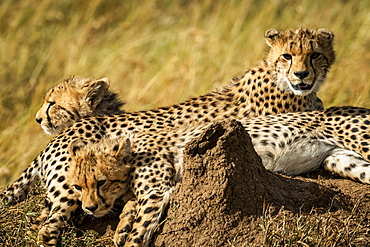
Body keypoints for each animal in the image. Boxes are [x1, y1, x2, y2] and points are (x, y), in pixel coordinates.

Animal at [0, 28, 336, 246]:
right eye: (287, 56)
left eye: (315, 55)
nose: (38, 118)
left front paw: (124, 226)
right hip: (68, 190)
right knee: (48, 224)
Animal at [67, 106, 370, 247]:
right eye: (77, 186)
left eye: (101, 182)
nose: (88, 208)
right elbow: (131, 206)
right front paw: (121, 228)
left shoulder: (157, 191)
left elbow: (141, 227)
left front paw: (128, 234)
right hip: (342, 160)